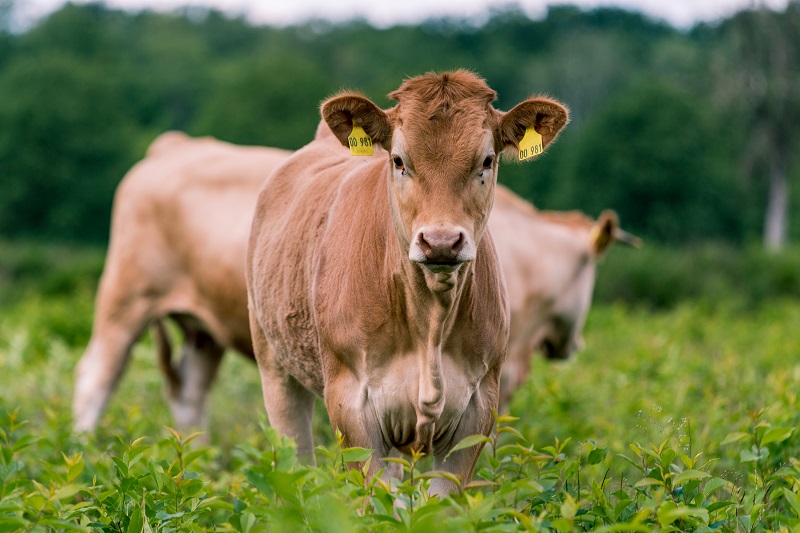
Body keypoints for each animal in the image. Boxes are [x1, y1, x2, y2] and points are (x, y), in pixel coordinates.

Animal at [72, 132, 290, 432]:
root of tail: (176, 144)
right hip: (126, 297)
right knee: (95, 380)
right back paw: (83, 444)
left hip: (202, 328)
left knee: (190, 392)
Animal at [247, 68, 564, 492]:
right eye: (399, 160)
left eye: (486, 160)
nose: (441, 241)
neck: (430, 320)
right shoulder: (351, 403)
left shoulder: (479, 406)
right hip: (274, 363)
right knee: (294, 457)